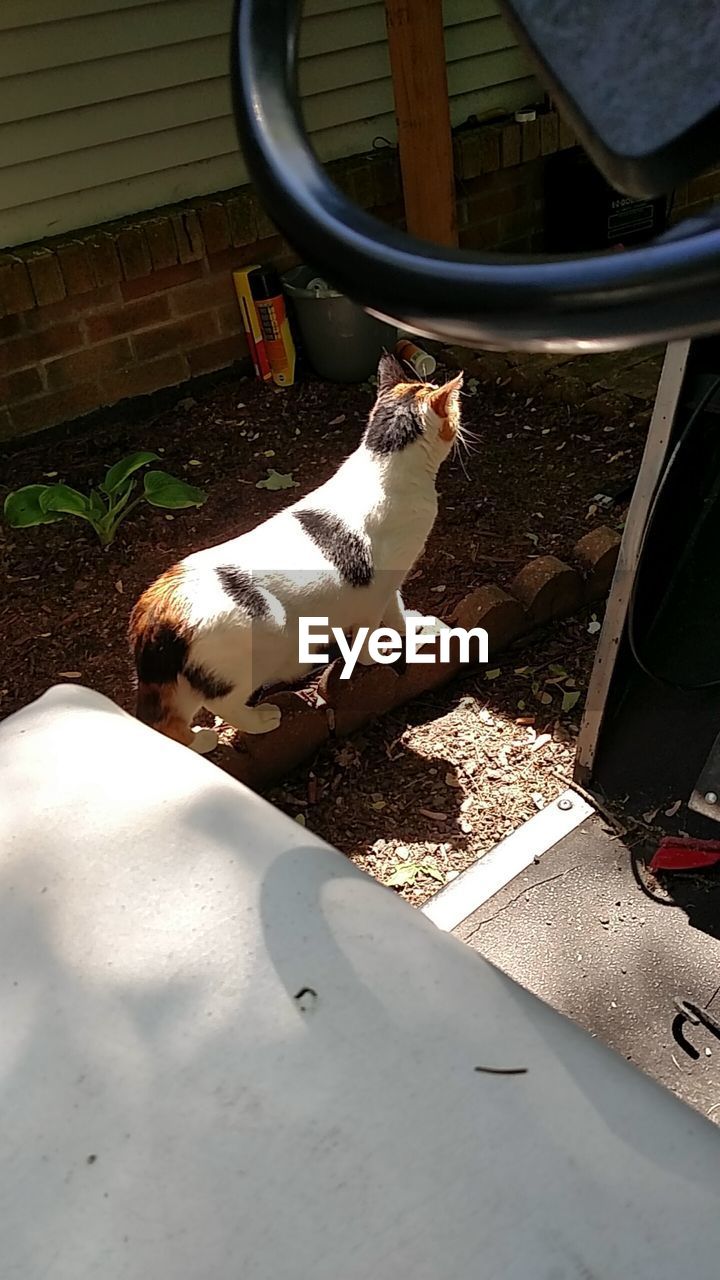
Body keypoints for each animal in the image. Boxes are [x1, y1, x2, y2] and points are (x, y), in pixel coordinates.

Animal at [128, 353, 461, 747]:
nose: (462, 420)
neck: (385, 468)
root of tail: (156, 612)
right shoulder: (375, 590)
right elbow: (370, 632)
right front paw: (374, 656)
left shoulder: (389, 583)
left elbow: (395, 610)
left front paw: (410, 628)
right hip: (262, 640)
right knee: (210, 709)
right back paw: (252, 723)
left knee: (168, 721)